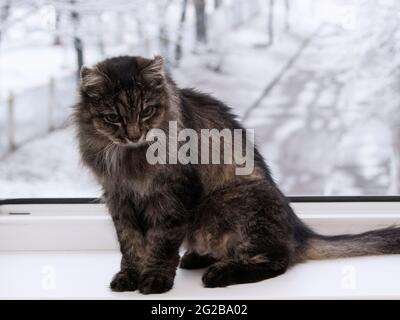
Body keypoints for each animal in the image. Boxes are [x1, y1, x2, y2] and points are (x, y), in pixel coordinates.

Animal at [74, 55, 400, 296]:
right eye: (113, 117)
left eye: (146, 111)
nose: (133, 135)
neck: (130, 158)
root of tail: (298, 231)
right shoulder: (119, 197)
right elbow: (130, 244)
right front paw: (128, 276)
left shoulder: (174, 194)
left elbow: (162, 242)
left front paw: (154, 278)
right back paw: (196, 258)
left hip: (229, 200)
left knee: (277, 260)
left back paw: (219, 273)